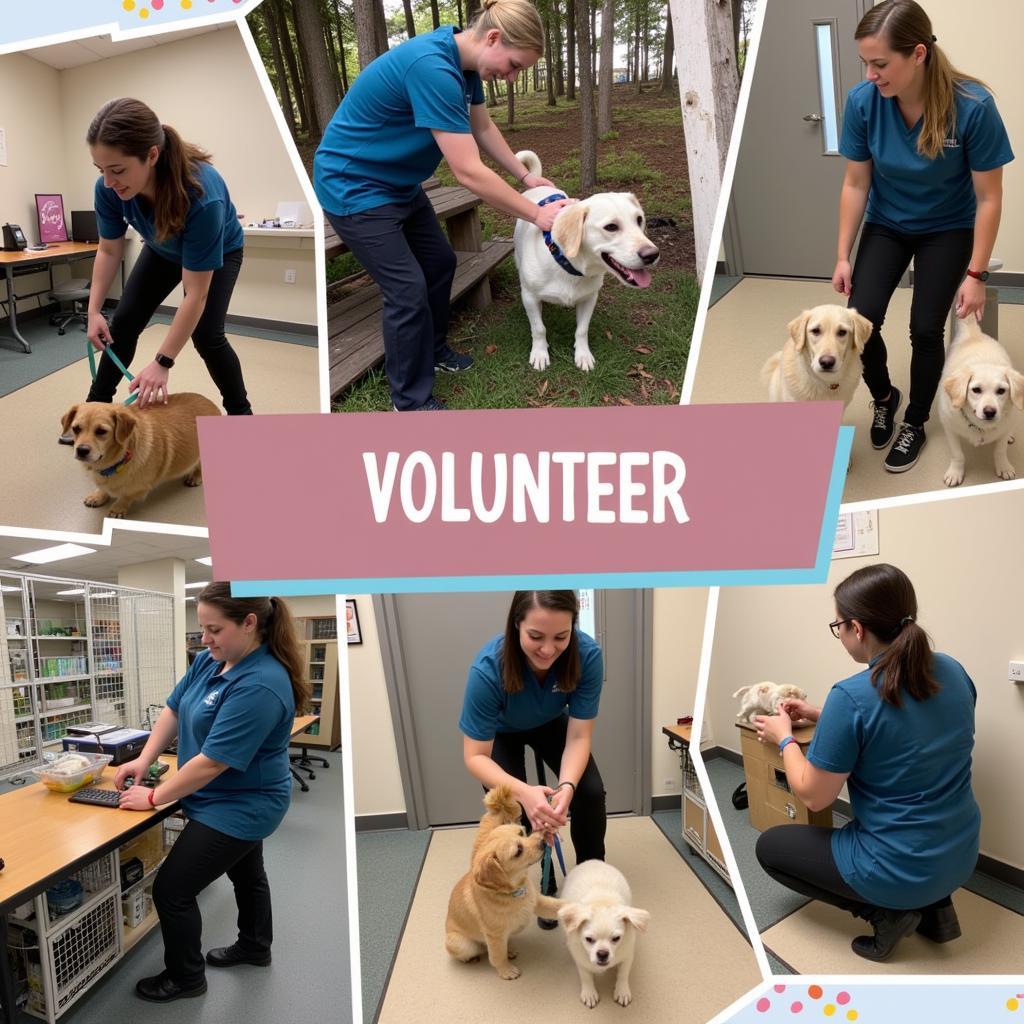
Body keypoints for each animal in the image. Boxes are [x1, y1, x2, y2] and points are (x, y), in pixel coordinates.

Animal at [60, 393, 221, 520]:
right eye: (76, 428)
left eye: (101, 431)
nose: (81, 450)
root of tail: (212, 404)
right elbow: (103, 488)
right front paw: (98, 495)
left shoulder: (140, 488)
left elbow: (126, 497)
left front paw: (118, 507)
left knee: (200, 466)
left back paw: (195, 476)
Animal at [444, 782, 565, 983]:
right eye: (518, 851)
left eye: (522, 832)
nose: (542, 841)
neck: (515, 892)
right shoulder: (494, 935)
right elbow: (496, 956)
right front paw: (506, 971)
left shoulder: (538, 902)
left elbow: (560, 905)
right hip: (460, 943)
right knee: (480, 951)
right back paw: (473, 958)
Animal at [512, 149, 663, 374]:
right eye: (611, 227)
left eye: (639, 220)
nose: (652, 254)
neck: (567, 266)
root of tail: (539, 186)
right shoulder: (529, 297)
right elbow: (539, 328)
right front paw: (540, 353)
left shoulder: (589, 298)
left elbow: (582, 330)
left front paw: (583, 355)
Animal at [557, 864, 651, 1007]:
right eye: (589, 939)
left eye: (616, 939)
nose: (602, 953)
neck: (601, 901)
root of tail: (591, 861)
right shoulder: (579, 957)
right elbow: (585, 976)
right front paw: (589, 993)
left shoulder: (627, 955)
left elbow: (623, 974)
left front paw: (622, 991)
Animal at [937, 313, 1024, 485]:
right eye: (976, 390)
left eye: (1001, 391)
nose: (990, 412)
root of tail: (974, 334)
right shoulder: (950, 428)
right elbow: (957, 454)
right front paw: (955, 472)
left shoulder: (1006, 427)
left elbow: (1000, 450)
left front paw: (1004, 466)